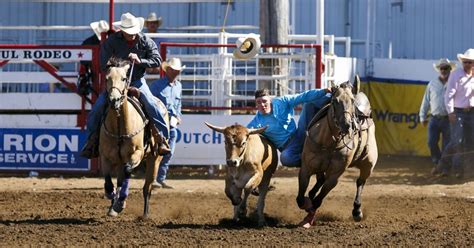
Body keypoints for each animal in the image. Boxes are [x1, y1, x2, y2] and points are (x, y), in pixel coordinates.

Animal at [99, 57, 168, 217]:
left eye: (124, 78)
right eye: (106, 78)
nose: (114, 100)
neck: (119, 126)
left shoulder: (137, 153)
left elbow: (128, 171)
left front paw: (120, 201)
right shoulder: (105, 156)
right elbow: (108, 181)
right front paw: (112, 198)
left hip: (154, 159)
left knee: (147, 188)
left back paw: (145, 214)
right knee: (120, 178)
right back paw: (114, 205)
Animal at [296, 79, 378, 229]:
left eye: (352, 101)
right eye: (334, 101)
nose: (346, 125)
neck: (328, 142)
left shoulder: (334, 176)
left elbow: (318, 201)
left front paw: (309, 217)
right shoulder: (306, 168)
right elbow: (300, 198)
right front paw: (307, 206)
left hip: (368, 165)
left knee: (360, 182)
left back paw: (357, 211)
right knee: (319, 181)